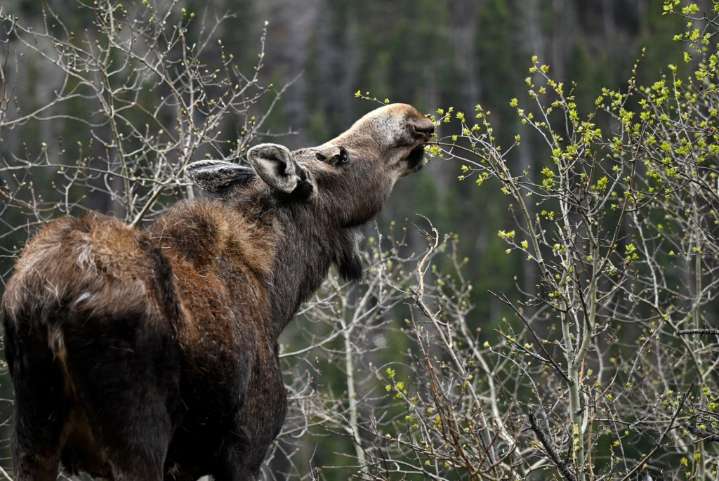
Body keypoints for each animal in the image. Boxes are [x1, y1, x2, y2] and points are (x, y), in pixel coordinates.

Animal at [1, 103, 435, 481]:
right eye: (339, 156)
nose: (412, 118)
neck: (279, 293)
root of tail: (51, 302)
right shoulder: (245, 448)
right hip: (137, 435)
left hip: (32, 431)